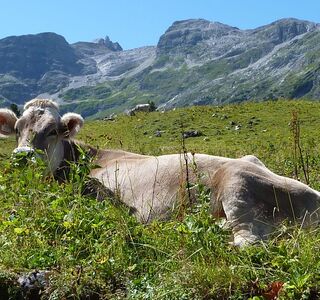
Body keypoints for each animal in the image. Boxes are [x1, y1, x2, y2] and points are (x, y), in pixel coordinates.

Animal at [0, 98, 320, 246]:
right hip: (250, 162)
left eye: (52, 131)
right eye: (17, 129)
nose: (22, 158)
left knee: (247, 241)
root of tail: (314, 195)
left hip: (237, 184)